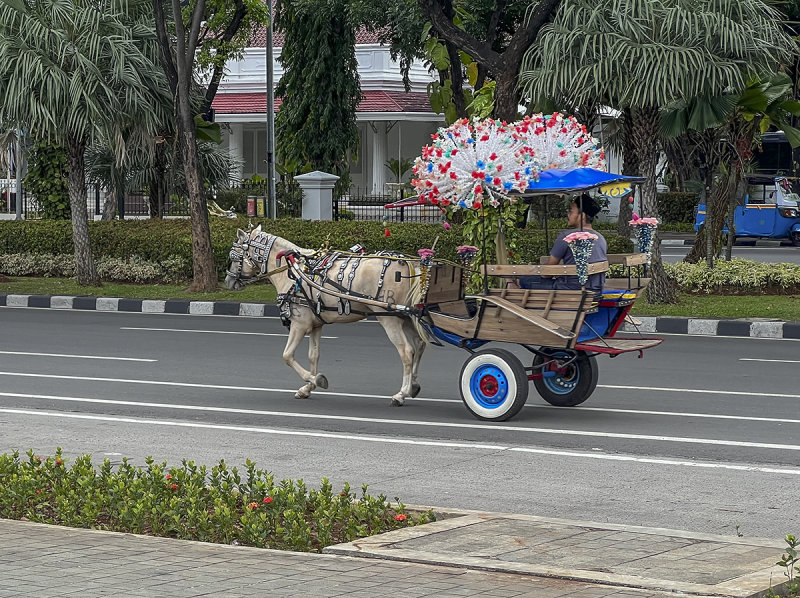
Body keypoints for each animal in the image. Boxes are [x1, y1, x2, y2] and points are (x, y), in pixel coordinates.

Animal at [222, 229, 428, 408]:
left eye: (233, 256)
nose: (228, 282)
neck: (294, 271)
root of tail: (407, 264)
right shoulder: (316, 325)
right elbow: (313, 355)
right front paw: (307, 388)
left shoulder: (299, 325)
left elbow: (287, 355)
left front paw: (316, 379)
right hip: (407, 317)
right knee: (419, 344)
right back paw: (413, 385)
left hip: (390, 319)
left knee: (407, 351)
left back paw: (401, 393)